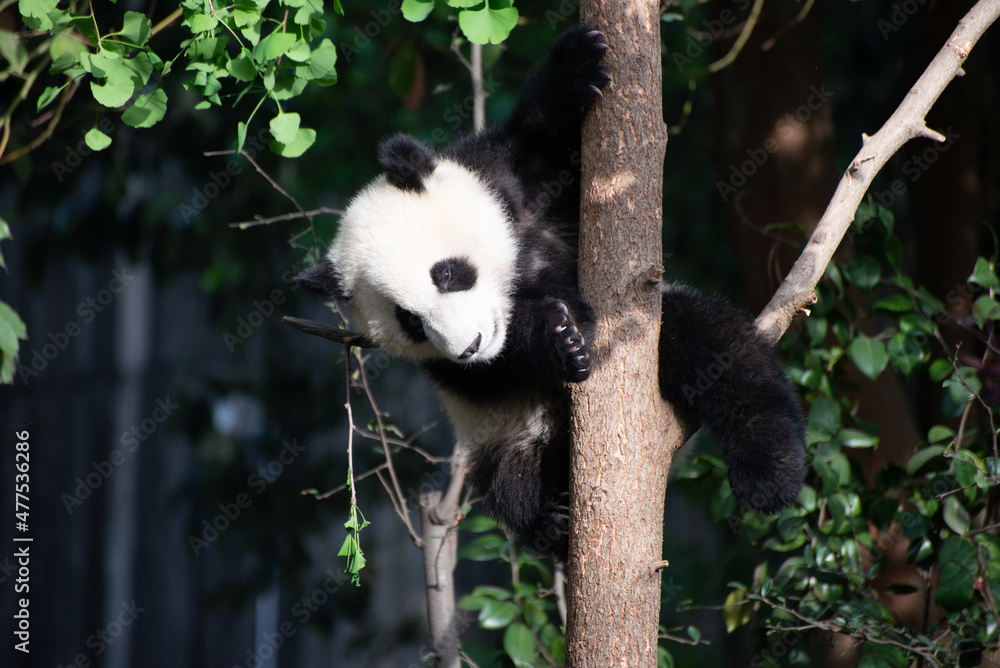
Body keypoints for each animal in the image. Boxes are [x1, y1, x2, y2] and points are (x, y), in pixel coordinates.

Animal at [299, 27, 806, 558]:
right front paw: (558, 338)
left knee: (718, 350)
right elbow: (495, 370)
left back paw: (768, 474)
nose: (470, 345)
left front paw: (577, 61)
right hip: (505, 433)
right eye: (410, 322)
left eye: (447, 274)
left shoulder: (511, 182)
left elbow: (545, 141)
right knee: (507, 481)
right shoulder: (452, 370)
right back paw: (552, 519)